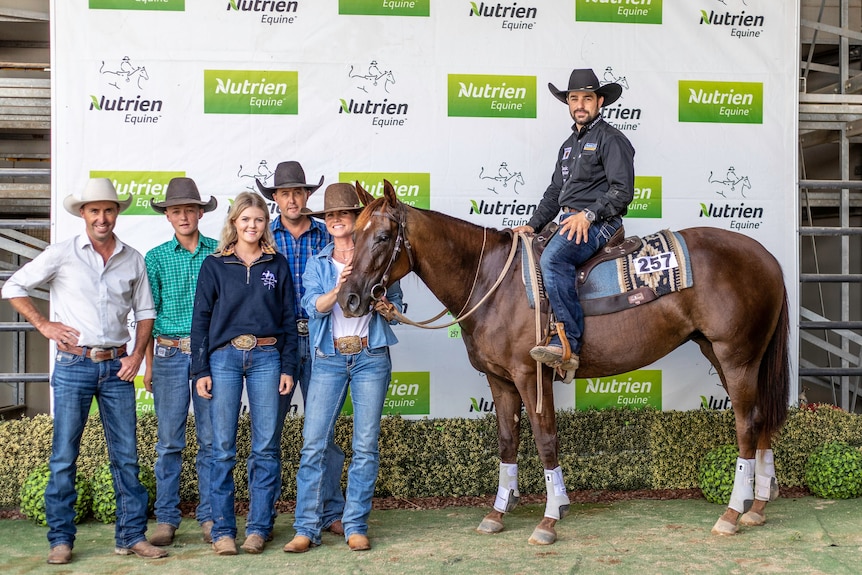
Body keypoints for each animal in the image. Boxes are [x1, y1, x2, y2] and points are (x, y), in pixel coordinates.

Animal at [340, 182, 792, 548]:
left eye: (383, 236)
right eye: (352, 235)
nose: (349, 299)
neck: (490, 281)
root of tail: (767, 257)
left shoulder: (531, 376)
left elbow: (545, 440)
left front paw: (550, 517)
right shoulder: (499, 380)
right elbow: (507, 442)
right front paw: (497, 512)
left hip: (736, 357)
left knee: (746, 425)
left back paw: (733, 512)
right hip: (722, 353)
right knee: (761, 419)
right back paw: (757, 508)